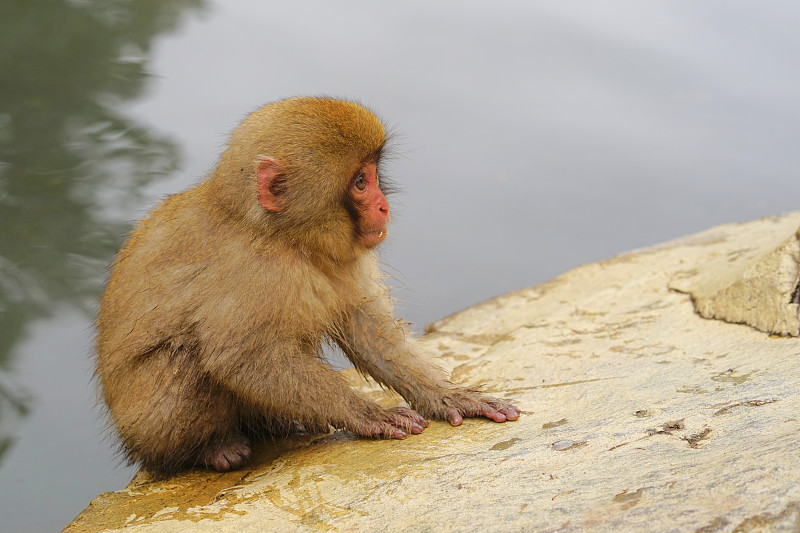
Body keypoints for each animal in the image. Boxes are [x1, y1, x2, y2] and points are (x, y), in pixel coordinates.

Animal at [95, 96, 520, 474]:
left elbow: (369, 330)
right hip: (147, 428)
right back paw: (213, 449)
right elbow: (244, 358)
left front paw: (448, 396)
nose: (384, 205)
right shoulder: (257, 271)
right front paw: (365, 413)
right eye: (361, 182)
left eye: (374, 175)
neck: (285, 237)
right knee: (183, 359)